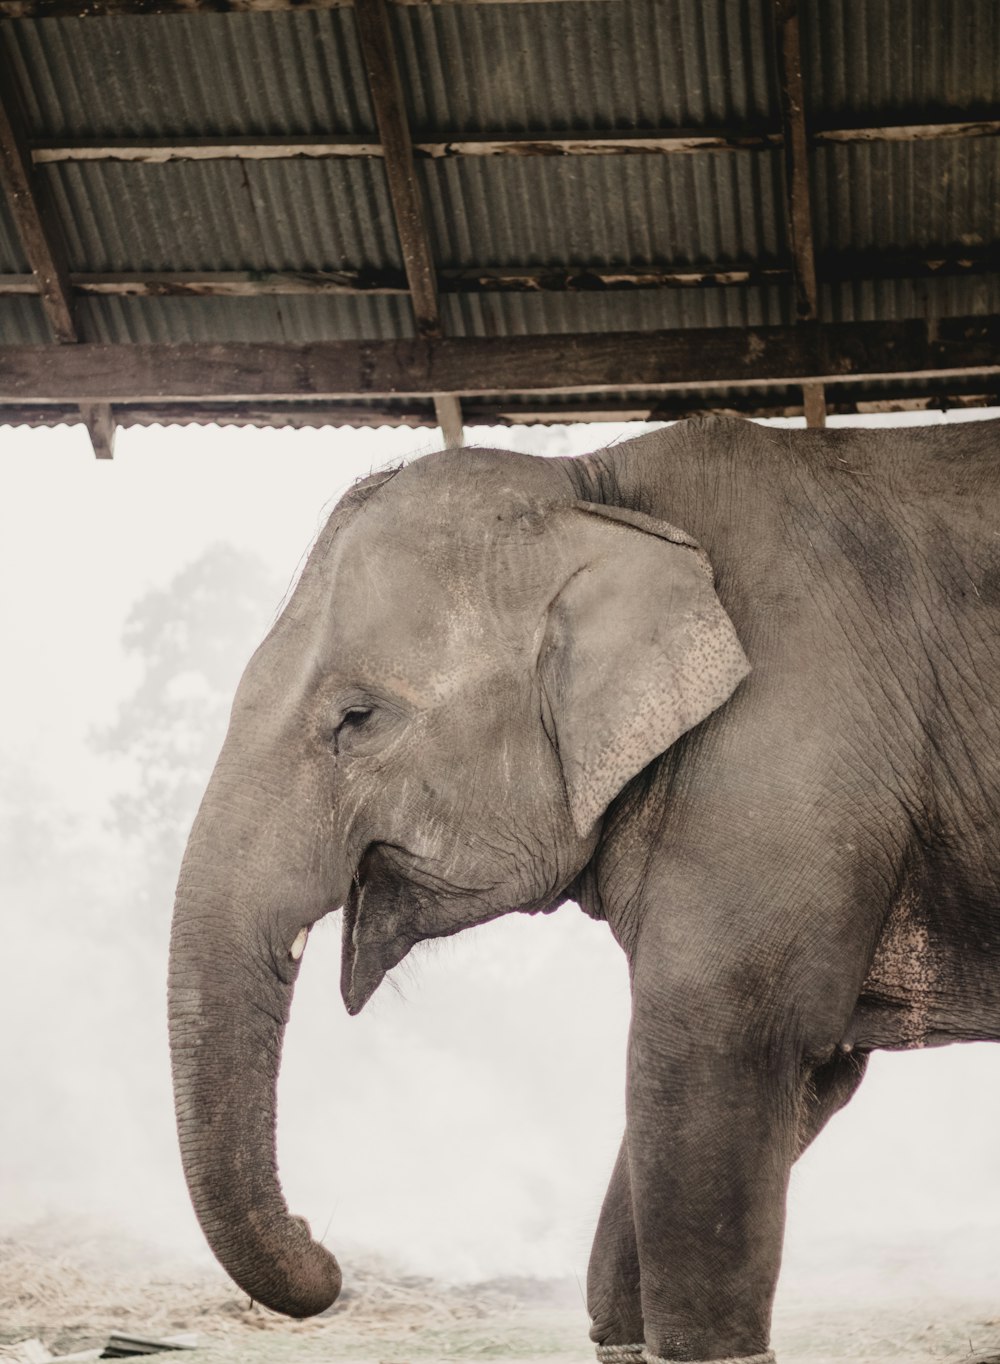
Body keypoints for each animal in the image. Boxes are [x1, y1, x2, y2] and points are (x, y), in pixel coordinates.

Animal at [167, 414, 998, 1364]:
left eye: (358, 718)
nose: (325, 1249)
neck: (593, 487)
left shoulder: (788, 752)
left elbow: (713, 1053)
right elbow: (774, 1085)